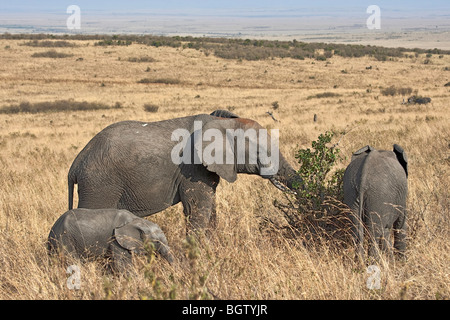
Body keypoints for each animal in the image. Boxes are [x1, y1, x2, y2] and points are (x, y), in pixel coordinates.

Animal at [68, 111, 300, 231]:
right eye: (260, 151)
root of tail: (76, 163)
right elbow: (197, 208)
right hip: (99, 184)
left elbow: (210, 209)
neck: (224, 122)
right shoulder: (192, 168)